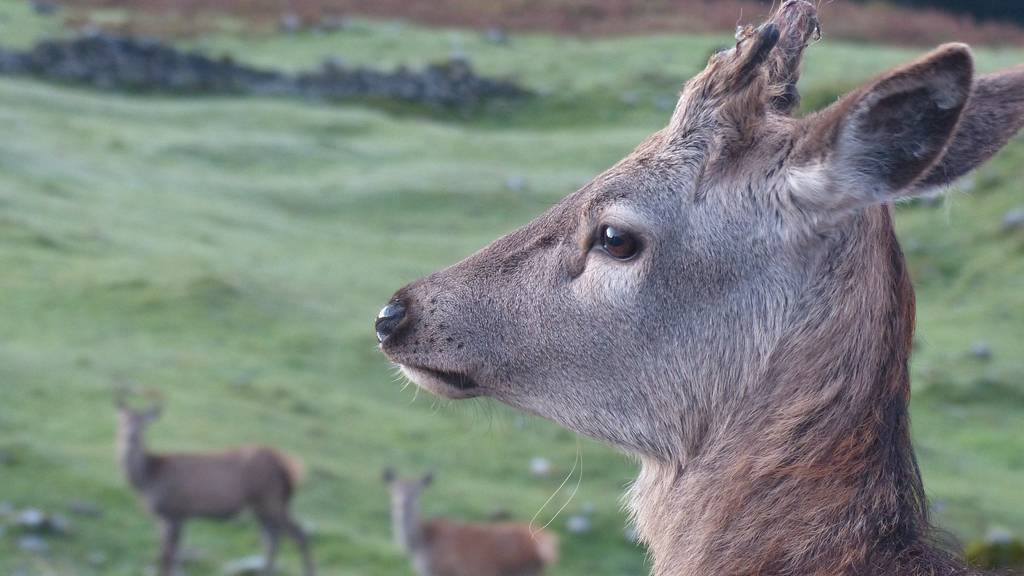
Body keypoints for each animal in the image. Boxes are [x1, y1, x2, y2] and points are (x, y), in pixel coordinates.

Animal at [117, 387, 315, 573]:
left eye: (143, 424)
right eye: (122, 421)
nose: (130, 436)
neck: (148, 479)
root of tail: (288, 468)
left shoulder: (172, 511)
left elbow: (167, 557)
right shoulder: (175, 517)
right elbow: (173, 556)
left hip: (270, 499)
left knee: (298, 534)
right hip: (265, 505)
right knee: (272, 539)